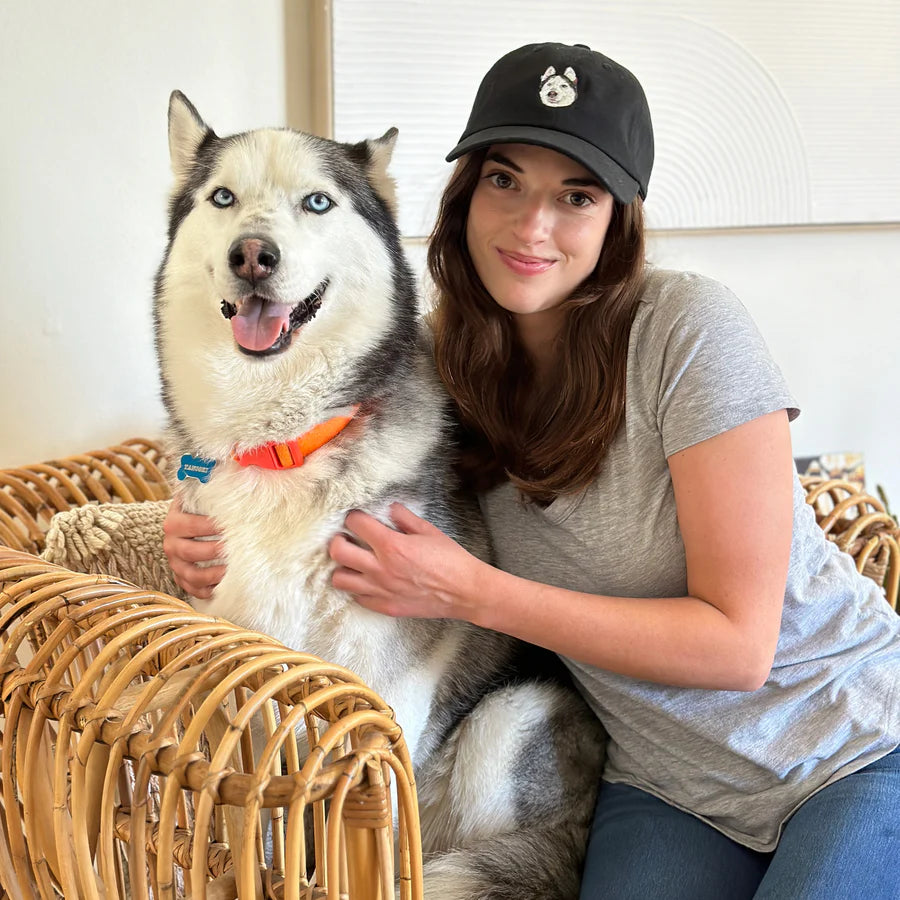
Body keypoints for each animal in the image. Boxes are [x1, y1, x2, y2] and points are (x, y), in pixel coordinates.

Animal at [156, 93, 604, 900]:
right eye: (223, 198)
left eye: (317, 202)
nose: (253, 254)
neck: (283, 445)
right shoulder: (254, 693)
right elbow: (262, 820)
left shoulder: (385, 694)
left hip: (507, 725)